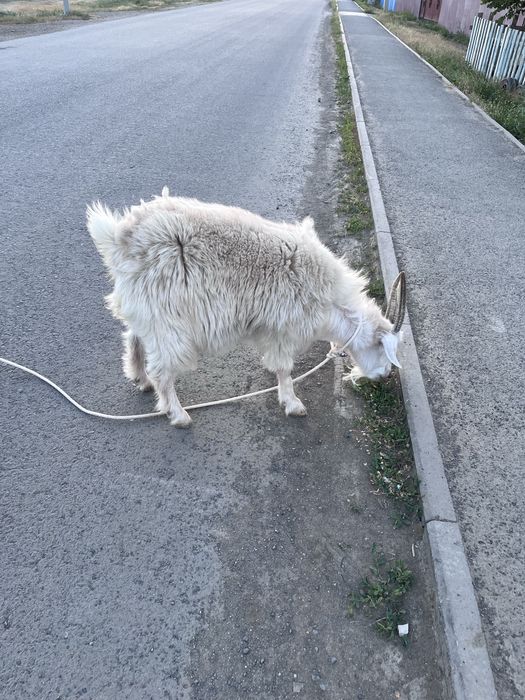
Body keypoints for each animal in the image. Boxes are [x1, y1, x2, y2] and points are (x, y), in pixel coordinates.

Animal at [87, 188, 406, 427]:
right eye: (381, 348)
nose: (383, 376)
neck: (329, 300)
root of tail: (120, 239)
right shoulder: (284, 326)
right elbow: (284, 367)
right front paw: (293, 403)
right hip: (168, 317)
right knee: (162, 368)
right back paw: (177, 414)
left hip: (149, 309)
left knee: (134, 337)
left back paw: (140, 379)